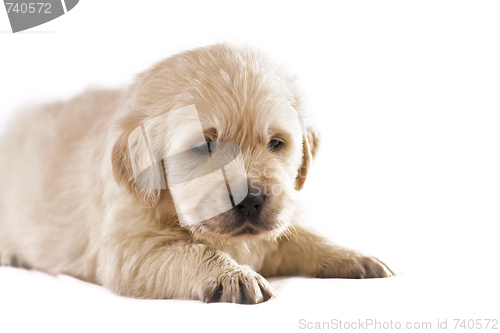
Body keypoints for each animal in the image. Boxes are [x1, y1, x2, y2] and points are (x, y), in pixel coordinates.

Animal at [0, 44, 392, 304]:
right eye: (204, 146)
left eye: (276, 143)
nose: (251, 200)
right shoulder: (130, 251)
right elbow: (191, 253)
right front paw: (233, 274)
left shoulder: (277, 226)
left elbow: (305, 237)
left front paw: (351, 256)